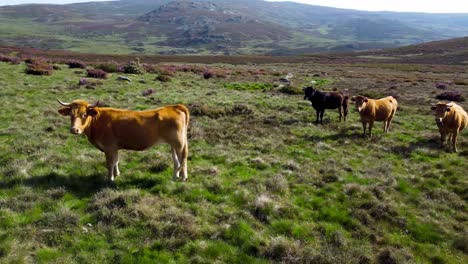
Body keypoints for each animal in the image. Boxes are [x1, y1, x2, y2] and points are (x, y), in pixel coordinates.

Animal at [57, 99, 189, 182]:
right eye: (71, 115)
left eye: (84, 115)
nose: (74, 130)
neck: (97, 121)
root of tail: (174, 107)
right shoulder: (114, 148)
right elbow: (116, 161)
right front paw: (117, 174)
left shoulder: (109, 147)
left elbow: (110, 163)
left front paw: (110, 179)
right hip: (172, 144)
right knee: (176, 160)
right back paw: (175, 176)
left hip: (179, 143)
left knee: (182, 157)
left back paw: (183, 177)